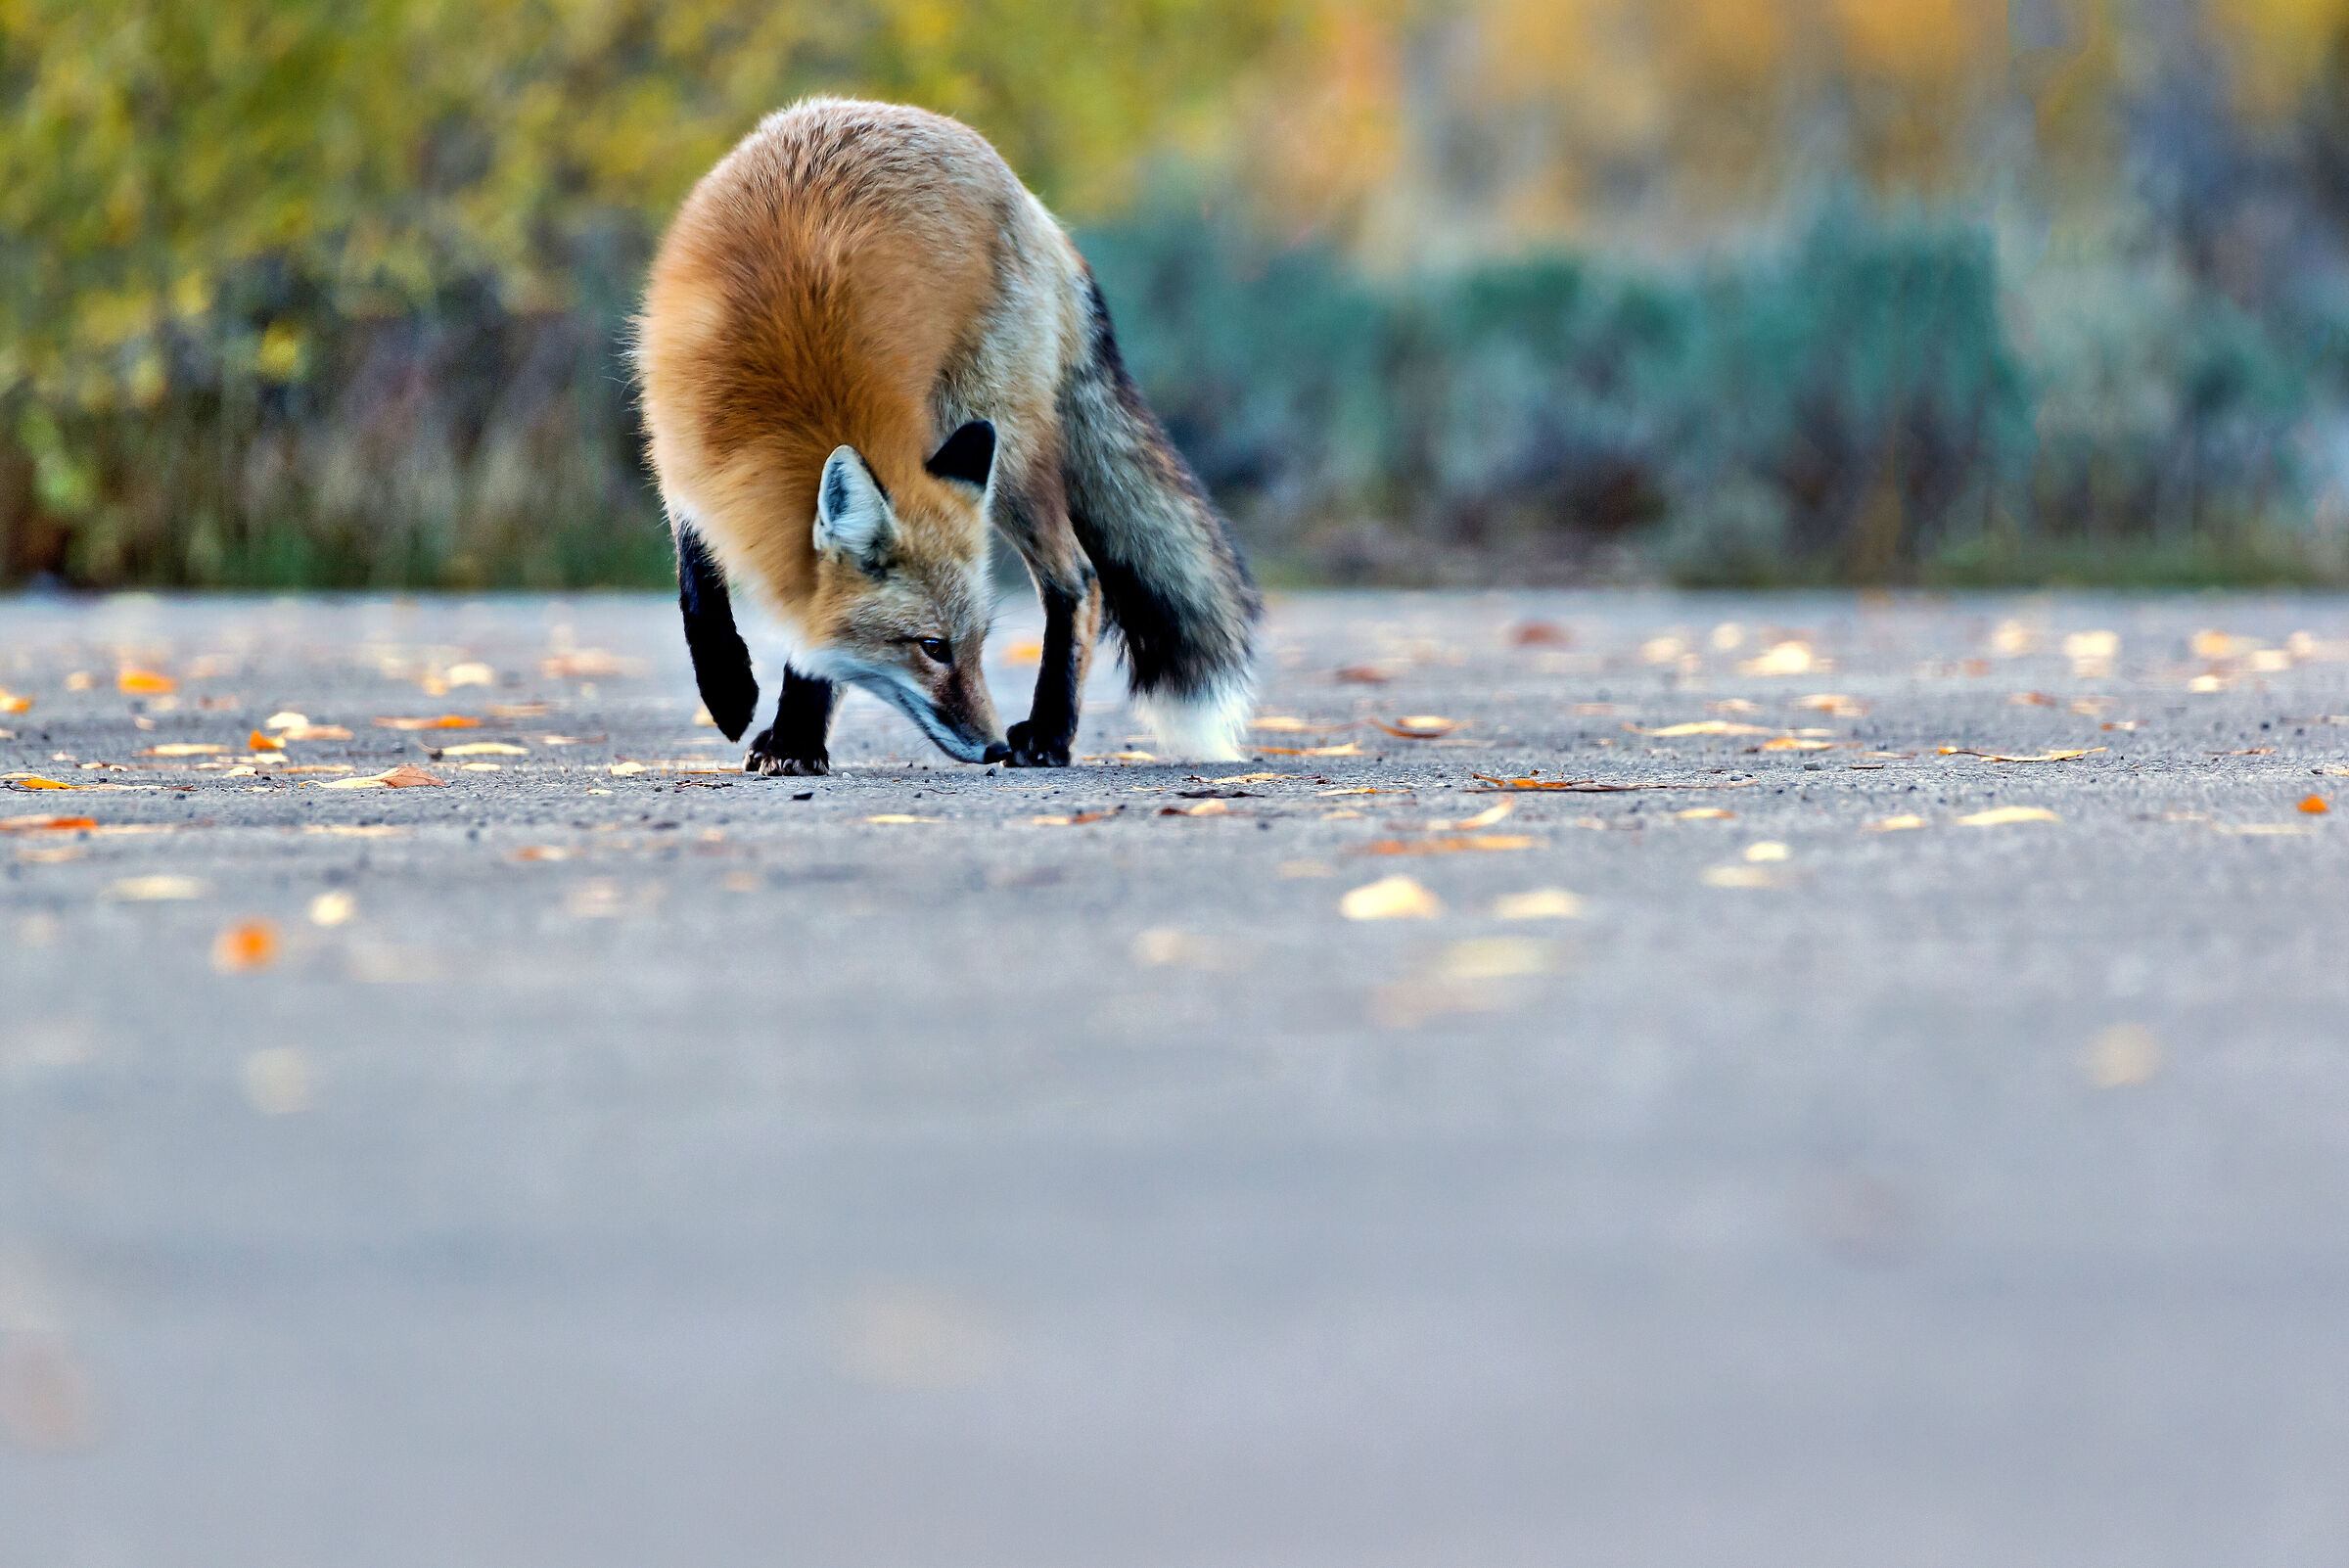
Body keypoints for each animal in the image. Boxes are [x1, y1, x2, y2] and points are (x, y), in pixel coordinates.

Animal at [633, 97, 1260, 774]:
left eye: (980, 643)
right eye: (933, 647)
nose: (991, 747)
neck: (778, 388)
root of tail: (1026, 197)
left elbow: (816, 637)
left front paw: (796, 735)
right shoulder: (677, 453)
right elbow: (698, 588)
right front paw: (729, 690)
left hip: (997, 436)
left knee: (1079, 578)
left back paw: (1050, 731)